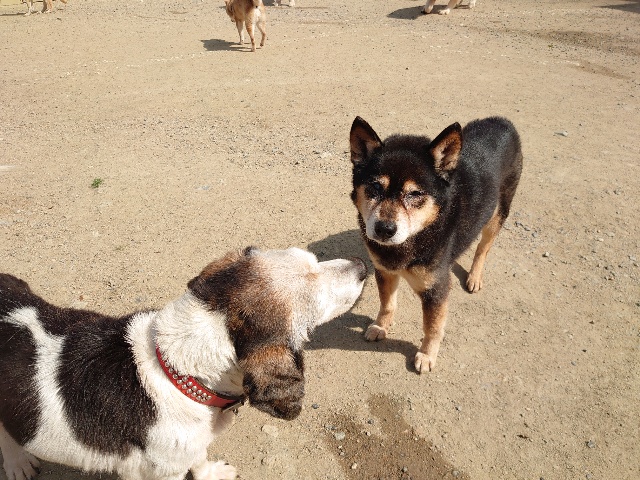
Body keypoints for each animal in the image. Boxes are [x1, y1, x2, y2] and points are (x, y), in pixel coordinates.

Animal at [0, 247, 366, 480]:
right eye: (317, 299)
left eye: (312, 257)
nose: (364, 266)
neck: (177, 370)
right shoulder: (161, 472)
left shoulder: (193, 446)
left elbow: (200, 459)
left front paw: (211, 473)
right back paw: (17, 463)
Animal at [349, 116, 522, 373]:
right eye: (375, 187)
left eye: (414, 193)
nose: (384, 229)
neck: (416, 238)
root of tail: (503, 121)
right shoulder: (385, 271)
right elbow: (387, 304)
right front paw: (381, 326)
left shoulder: (436, 288)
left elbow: (432, 326)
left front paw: (427, 355)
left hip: (497, 214)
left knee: (483, 248)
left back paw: (474, 277)